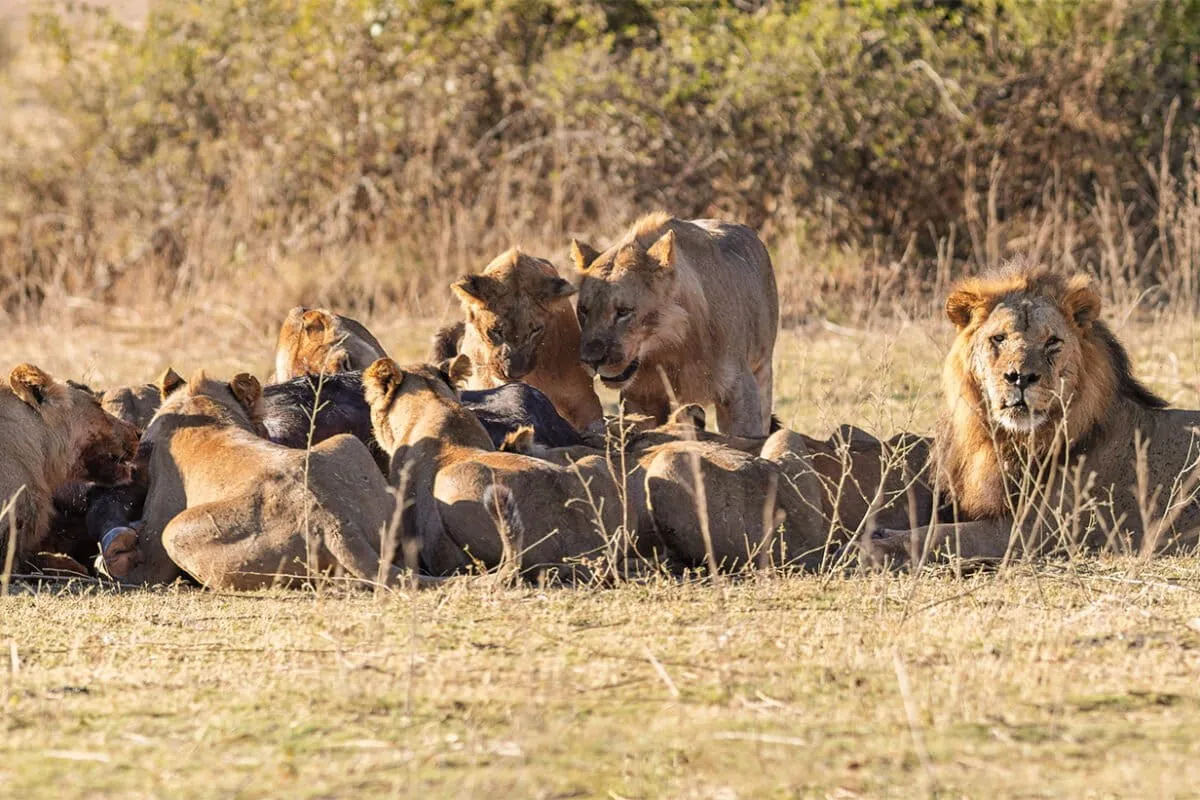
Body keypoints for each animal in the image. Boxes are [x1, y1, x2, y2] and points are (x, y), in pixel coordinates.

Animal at [571, 212, 778, 436]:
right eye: (583, 309)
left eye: (623, 311)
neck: (671, 348)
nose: (591, 361)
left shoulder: (740, 390)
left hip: (763, 370)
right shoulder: (641, 399)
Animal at [867, 260, 1200, 564]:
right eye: (998, 338)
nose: (1020, 378)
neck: (1012, 440)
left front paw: (869, 546)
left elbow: (939, 534)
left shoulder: (1035, 530)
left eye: (1052, 342)